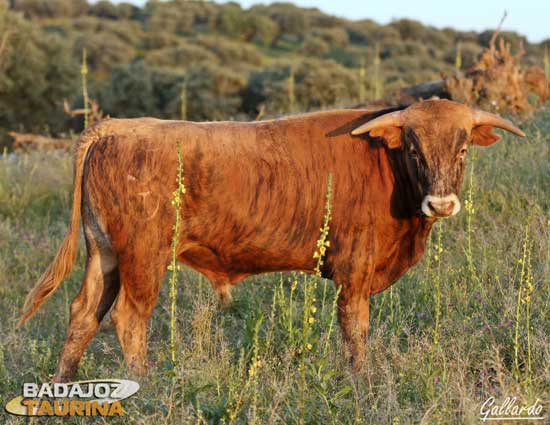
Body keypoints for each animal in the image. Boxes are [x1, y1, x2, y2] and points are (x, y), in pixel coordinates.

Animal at [18, 98, 528, 380]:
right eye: (416, 149)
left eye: (462, 149)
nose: (440, 204)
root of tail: (116, 127)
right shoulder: (355, 272)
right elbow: (355, 331)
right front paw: (361, 382)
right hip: (143, 254)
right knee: (128, 317)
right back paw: (146, 386)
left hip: (103, 253)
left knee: (84, 313)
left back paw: (63, 387)